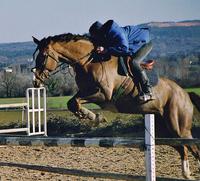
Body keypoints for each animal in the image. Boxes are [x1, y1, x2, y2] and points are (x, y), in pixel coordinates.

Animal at [31, 33, 200, 179]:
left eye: (43, 56)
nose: (36, 80)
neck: (88, 62)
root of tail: (184, 93)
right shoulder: (86, 91)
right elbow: (72, 102)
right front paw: (91, 116)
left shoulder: (104, 95)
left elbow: (75, 102)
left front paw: (95, 117)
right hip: (163, 129)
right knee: (182, 148)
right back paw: (186, 173)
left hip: (178, 127)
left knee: (192, 147)